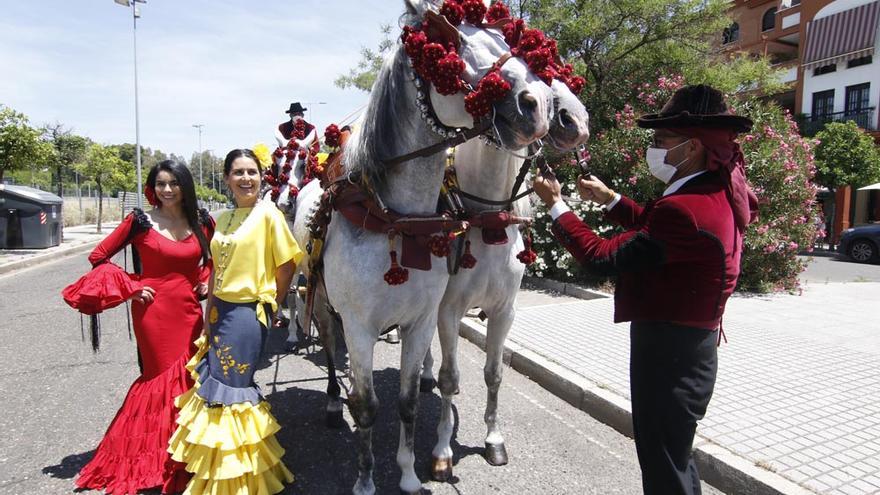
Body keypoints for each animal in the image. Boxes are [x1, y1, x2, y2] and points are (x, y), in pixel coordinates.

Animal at [290, 0, 552, 492]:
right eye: (451, 40)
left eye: (508, 42)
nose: (540, 104)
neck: (396, 217)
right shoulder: (363, 325)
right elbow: (368, 405)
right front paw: (366, 478)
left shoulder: (425, 318)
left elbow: (411, 400)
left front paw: (410, 474)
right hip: (319, 300)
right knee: (331, 350)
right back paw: (334, 401)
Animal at [422, 76, 588, 480]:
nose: (576, 121)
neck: (486, 215)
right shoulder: (448, 310)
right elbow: (450, 377)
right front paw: (442, 450)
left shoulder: (504, 311)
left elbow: (494, 374)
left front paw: (494, 440)